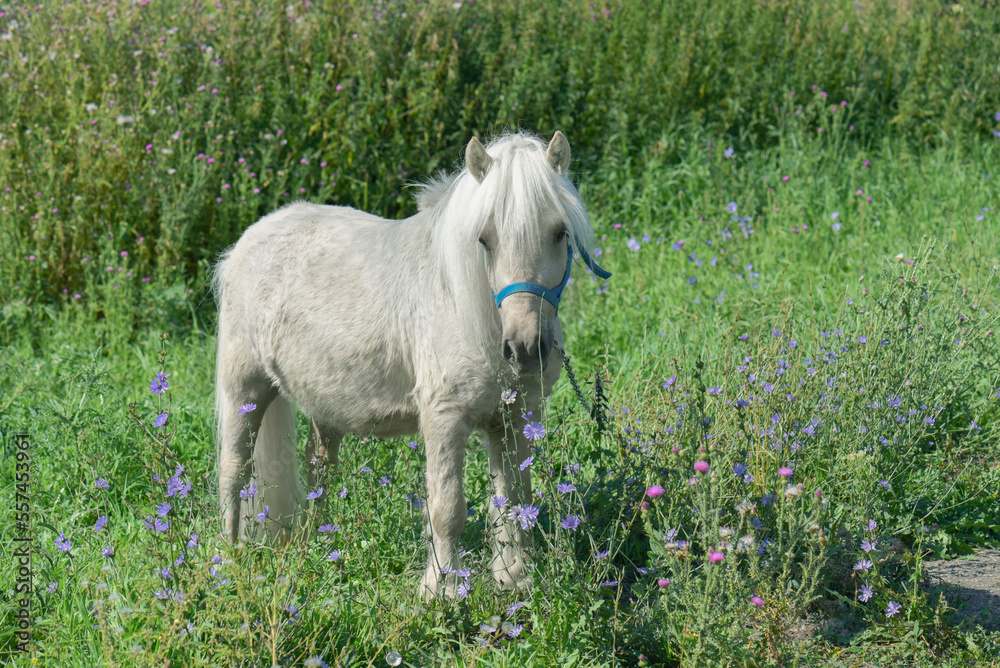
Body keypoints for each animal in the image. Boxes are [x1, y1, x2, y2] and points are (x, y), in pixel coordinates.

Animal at [212, 131, 610, 599]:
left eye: (560, 232)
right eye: (484, 239)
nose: (525, 348)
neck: (463, 305)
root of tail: (248, 240)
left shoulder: (514, 420)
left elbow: (514, 501)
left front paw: (514, 577)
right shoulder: (444, 419)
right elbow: (447, 509)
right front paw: (442, 589)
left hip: (324, 403)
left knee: (318, 465)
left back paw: (320, 544)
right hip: (246, 393)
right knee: (234, 474)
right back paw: (229, 560)